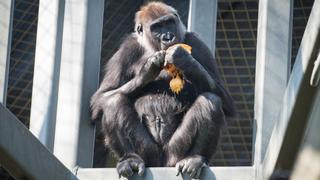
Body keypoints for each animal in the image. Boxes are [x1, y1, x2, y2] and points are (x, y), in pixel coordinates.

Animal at [90, 1, 235, 179]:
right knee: (113, 102)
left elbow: (226, 101)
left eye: (169, 23)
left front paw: (184, 59)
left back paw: (194, 158)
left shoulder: (197, 42)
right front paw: (147, 70)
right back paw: (129, 159)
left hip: (174, 154)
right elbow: (101, 98)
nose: (168, 37)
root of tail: (161, 164)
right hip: (148, 155)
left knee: (210, 100)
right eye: (156, 27)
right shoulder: (127, 48)